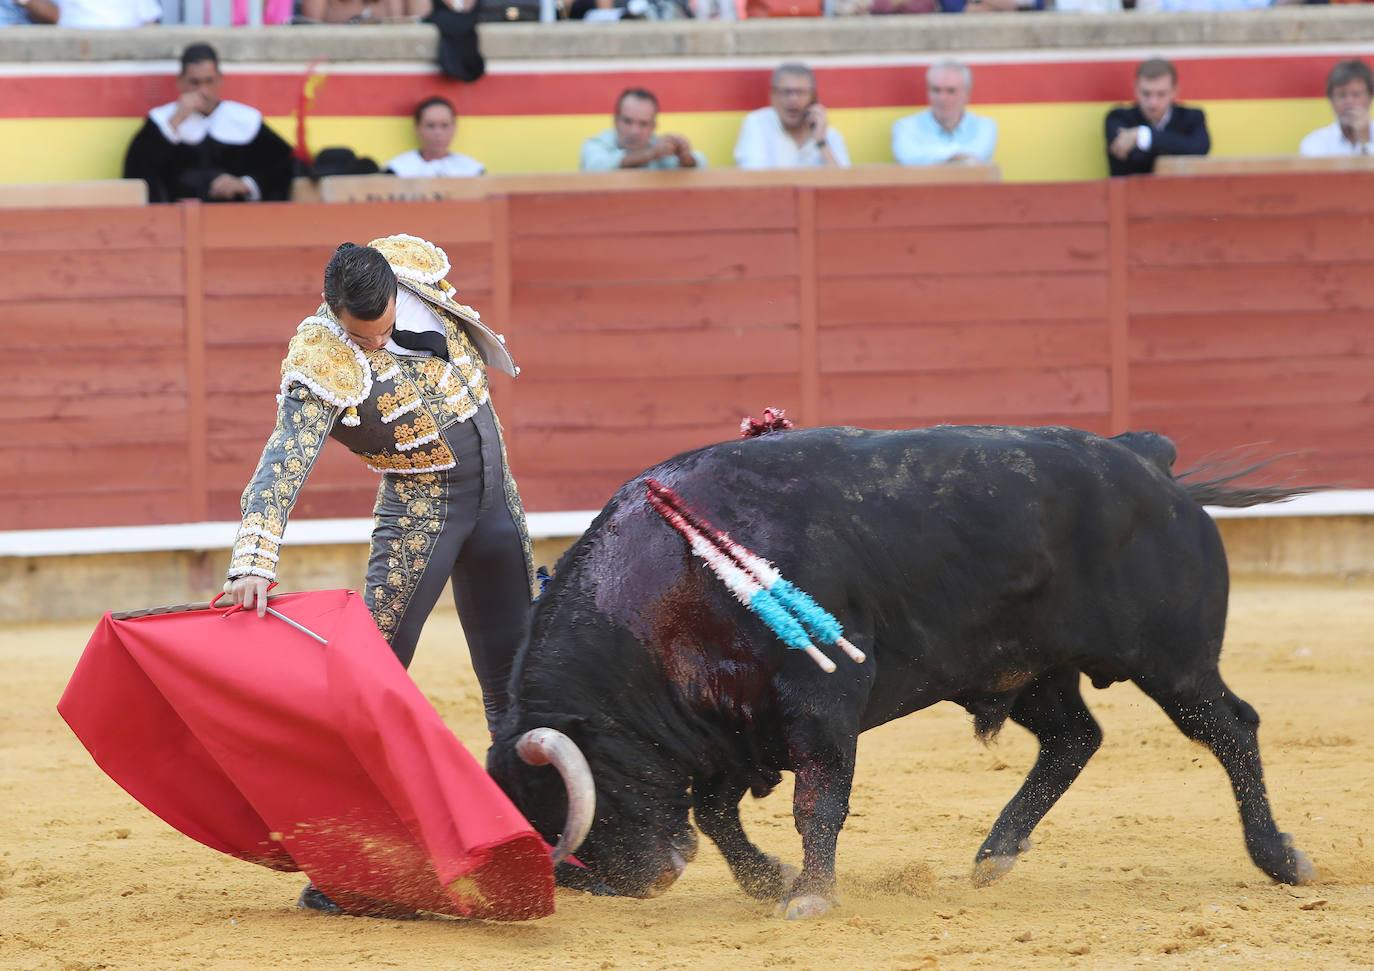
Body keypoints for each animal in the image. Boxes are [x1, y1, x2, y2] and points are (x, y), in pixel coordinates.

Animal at [489, 425, 1313, 917]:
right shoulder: (726, 726)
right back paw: (996, 854)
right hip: (1024, 667)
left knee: (1231, 729)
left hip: (1174, 662)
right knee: (1075, 737)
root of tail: (1144, 455)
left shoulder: (819, 699)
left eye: (577, 797)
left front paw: (810, 897)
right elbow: (717, 812)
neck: (673, 581)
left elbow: (817, 800)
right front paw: (770, 881)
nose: (630, 885)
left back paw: (1281, 859)